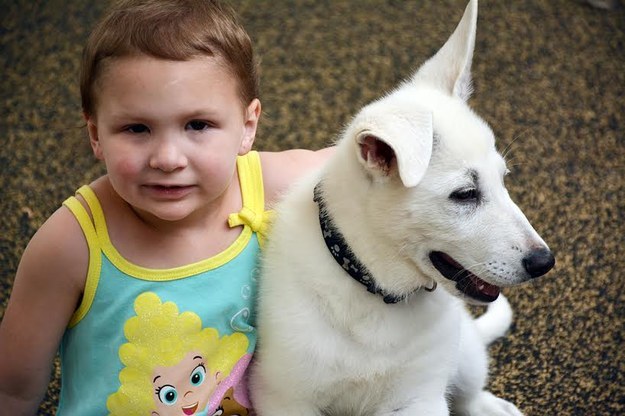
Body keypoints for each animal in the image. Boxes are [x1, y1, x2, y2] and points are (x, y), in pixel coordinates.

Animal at [249, 1, 552, 414]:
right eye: (465, 194)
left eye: (504, 179)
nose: (544, 262)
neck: (375, 289)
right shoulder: (286, 398)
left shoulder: (418, 396)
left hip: (464, 355)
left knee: (470, 395)